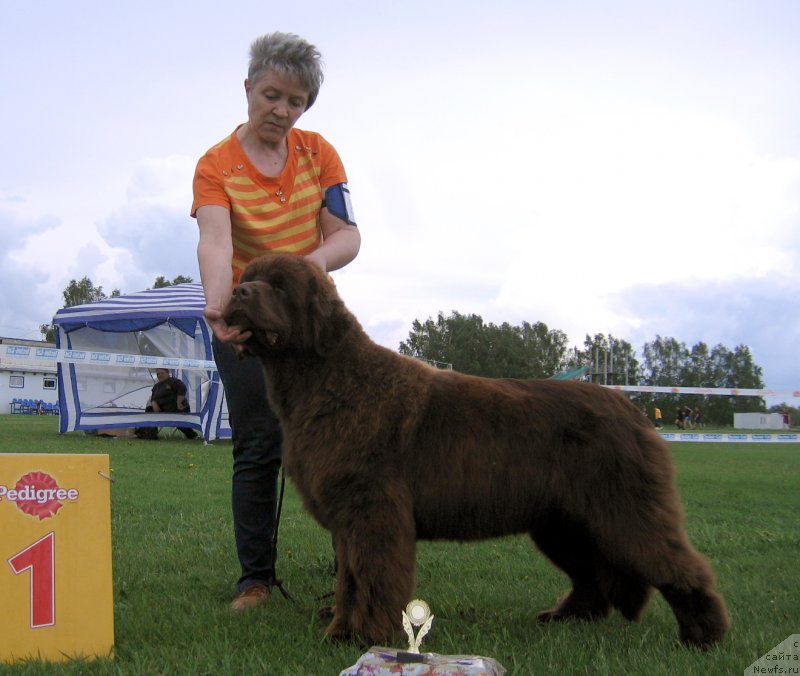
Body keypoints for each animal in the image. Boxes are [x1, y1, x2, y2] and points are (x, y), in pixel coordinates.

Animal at [222, 254, 728, 648]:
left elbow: (370, 579)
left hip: (623, 510)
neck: (328, 380)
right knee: (593, 574)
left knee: (677, 564)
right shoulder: (351, 519)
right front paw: (346, 627)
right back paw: (564, 618)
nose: (238, 292)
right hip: (565, 521)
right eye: (250, 276)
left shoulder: (371, 512)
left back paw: (703, 636)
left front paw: (356, 635)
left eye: (280, 286)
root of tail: (634, 409)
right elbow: (351, 579)